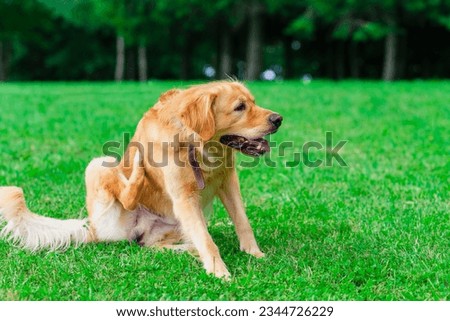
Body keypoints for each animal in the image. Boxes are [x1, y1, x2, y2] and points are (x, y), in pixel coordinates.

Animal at [0, 81, 282, 278]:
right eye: (239, 108)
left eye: (253, 102)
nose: (278, 119)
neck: (197, 144)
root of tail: (92, 229)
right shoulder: (184, 198)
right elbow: (206, 240)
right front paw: (219, 271)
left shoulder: (228, 181)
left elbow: (242, 222)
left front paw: (254, 253)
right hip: (99, 166)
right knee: (126, 195)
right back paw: (137, 169)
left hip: (174, 224)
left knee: (150, 245)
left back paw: (186, 249)